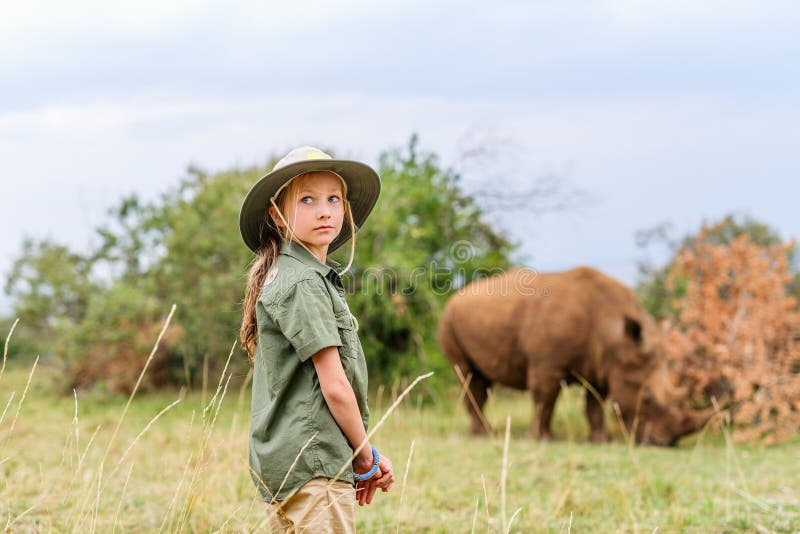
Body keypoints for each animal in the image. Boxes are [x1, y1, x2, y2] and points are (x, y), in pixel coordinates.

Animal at [440, 268, 716, 448]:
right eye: (647, 399)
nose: (666, 442)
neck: (613, 333)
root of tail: (458, 294)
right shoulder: (547, 365)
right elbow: (544, 399)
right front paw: (541, 439)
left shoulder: (604, 365)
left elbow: (594, 404)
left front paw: (600, 441)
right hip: (448, 319)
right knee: (468, 376)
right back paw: (484, 434)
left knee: (479, 379)